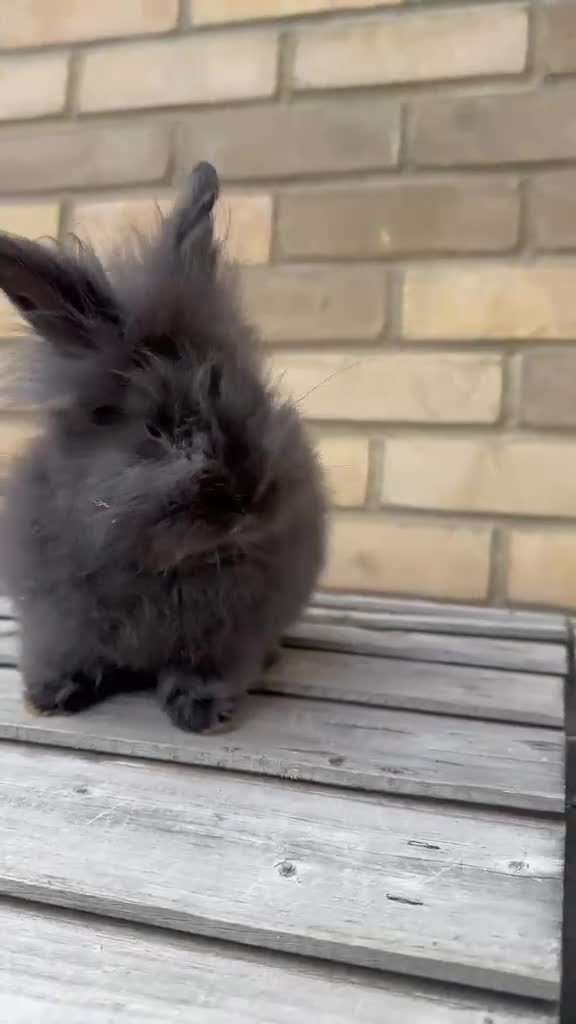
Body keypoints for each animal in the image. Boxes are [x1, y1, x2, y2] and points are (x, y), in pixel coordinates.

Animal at [0, 162, 326, 733]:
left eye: (253, 397)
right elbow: (68, 653)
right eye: (157, 430)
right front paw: (52, 694)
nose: (249, 498)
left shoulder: (229, 636)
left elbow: (205, 669)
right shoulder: (55, 617)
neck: (161, 566)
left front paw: (198, 711)